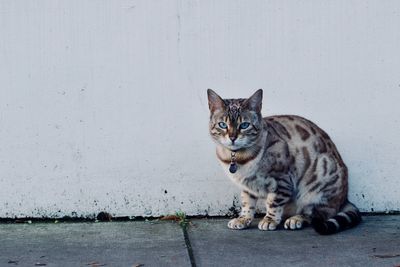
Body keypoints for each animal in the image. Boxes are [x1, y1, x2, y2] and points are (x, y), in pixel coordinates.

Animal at [208, 89, 360, 234]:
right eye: (222, 125)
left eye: (244, 125)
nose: (232, 137)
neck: (238, 158)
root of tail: (345, 198)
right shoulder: (247, 186)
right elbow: (247, 203)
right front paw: (243, 219)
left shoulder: (281, 180)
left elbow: (273, 203)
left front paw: (269, 220)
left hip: (318, 180)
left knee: (316, 214)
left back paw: (295, 219)